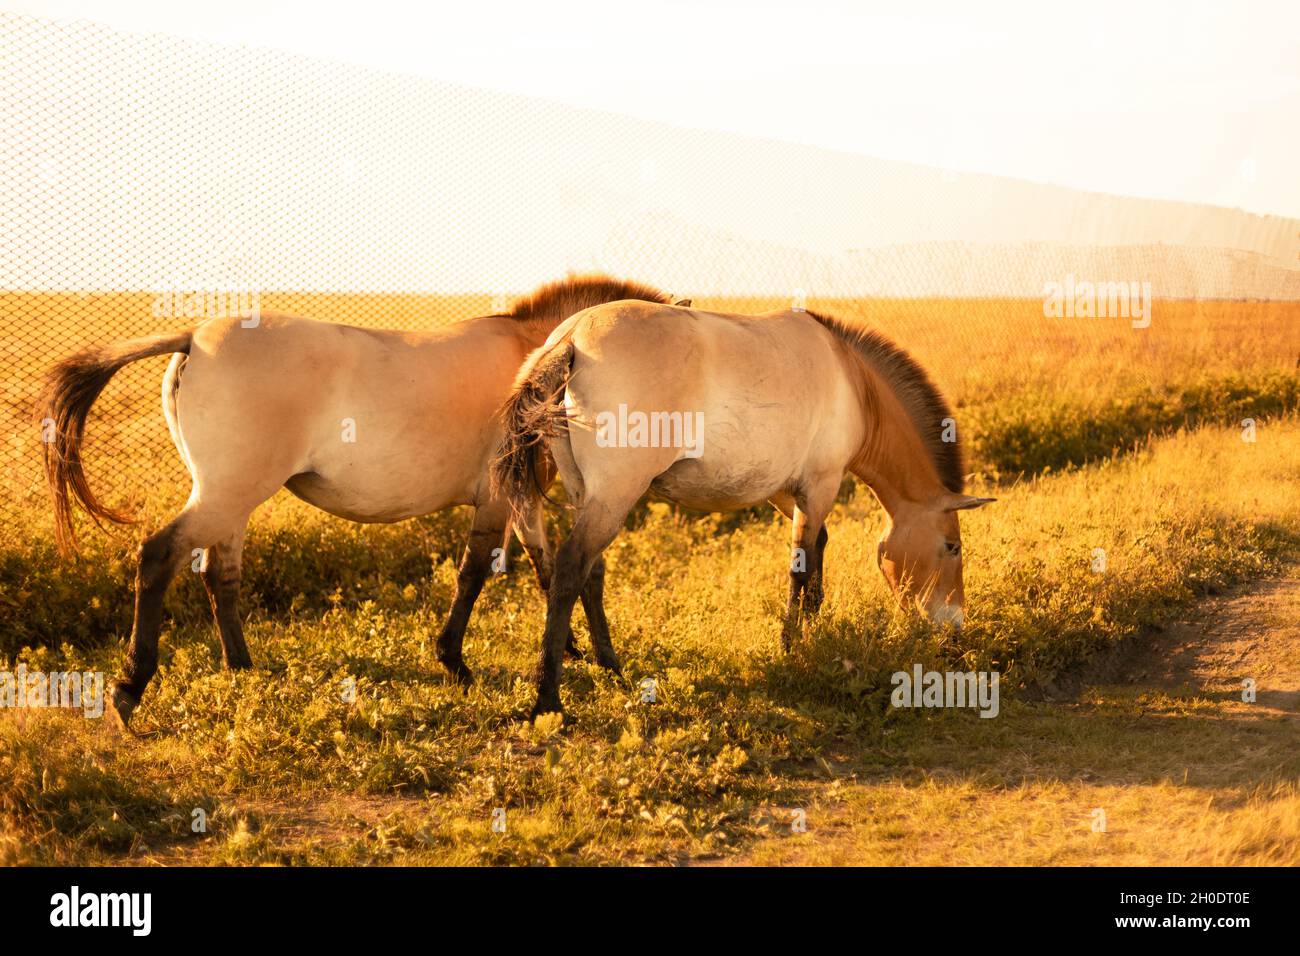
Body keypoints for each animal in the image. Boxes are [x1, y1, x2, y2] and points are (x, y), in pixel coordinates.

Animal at [40, 273, 670, 728]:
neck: (542, 352)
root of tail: (192, 336)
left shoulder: (517, 499)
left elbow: (538, 564)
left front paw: (574, 651)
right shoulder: (502, 496)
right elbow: (481, 573)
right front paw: (458, 661)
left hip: (229, 500)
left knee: (220, 576)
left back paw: (242, 669)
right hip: (225, 496)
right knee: (158, 556)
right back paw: (129, 688)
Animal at [491, 300, 987, 717]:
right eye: (952, 547)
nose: (954, 629)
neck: (853, 381)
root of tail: (572, 337)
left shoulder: (787, 490)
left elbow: (816, 553)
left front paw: (813, 630)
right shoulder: (820, 485)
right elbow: (800, 566)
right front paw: (792, 648)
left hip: (591, 497)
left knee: (590, 573)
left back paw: (612, 668)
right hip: (614, 497)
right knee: (571, 568)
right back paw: (548, 700)